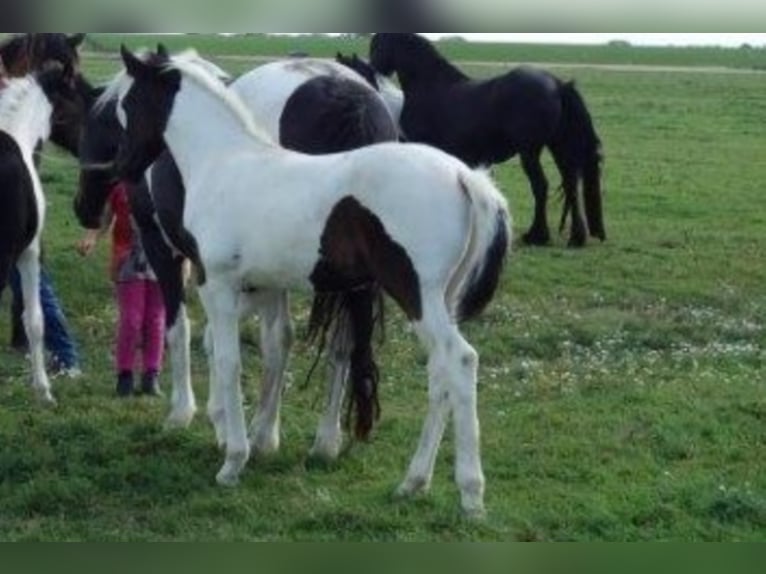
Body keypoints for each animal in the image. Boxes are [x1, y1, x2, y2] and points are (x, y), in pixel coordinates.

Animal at [75, 51, 402, 462]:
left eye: (91, 125)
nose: (83, 209)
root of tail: (348, 97)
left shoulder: (165, 249)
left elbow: (181, 328)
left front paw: (189, 413)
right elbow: (220, 338)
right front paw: (227, 419)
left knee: (282, 339)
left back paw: (265, 435)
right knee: (339, 343)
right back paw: (322, 441)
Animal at [112, 46, 510, 516]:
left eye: (129, 103)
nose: (122, 167)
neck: (224, 161)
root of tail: (464, 177)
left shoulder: (218, 284)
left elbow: (227, 360)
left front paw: (233, 459)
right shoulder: (259, 285)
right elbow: (263, 348)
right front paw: (246, 437)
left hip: (416, 293)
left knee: (461, 361)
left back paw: (470, 495)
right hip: (441, 300)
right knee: (440, 373)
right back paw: (414, 481)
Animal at [364, 33, 608, 249]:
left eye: (377, 43)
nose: (369, 71)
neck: (429, 86)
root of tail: (557, 84)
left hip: (529, 151)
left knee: (541, 186)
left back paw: (537, 236)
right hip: (558, 148)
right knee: (571, 184)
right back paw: (576, 238)